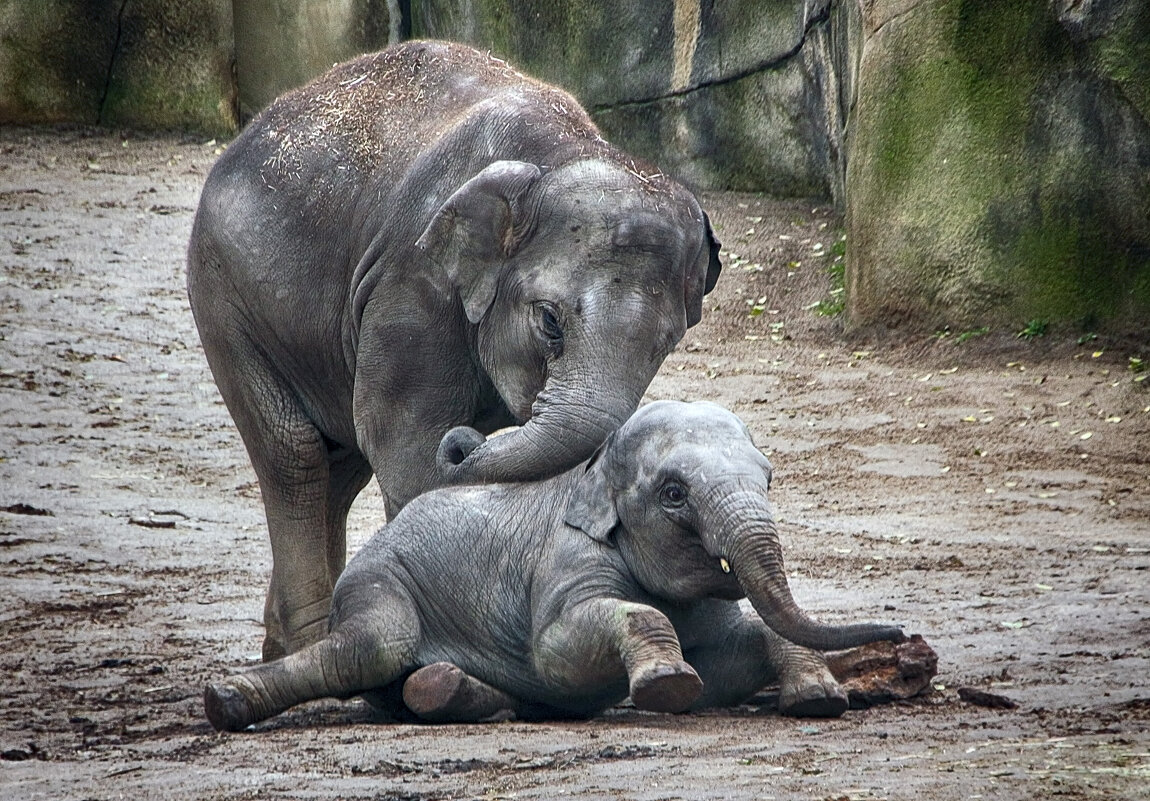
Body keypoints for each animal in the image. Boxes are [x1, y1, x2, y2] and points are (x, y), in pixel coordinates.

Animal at [188, 40, 722, 657]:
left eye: (665, 344)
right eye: (549, 321)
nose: (464, 445)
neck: (560, 153)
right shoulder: (412, 281)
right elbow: (407, 448)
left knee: (340, 467)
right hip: (224, 295)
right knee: (295, 454)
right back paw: (309, 645)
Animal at [209, 399, 906, 730]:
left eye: (769, 479)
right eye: (674, 493)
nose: (900, 631)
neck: (594, 468)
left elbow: (728, 661)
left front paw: (819, 699)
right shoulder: (567, 560)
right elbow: (559, 653)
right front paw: (667, 684)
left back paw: (455, 692)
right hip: (380, 582)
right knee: (372, 648)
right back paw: (226, 701)